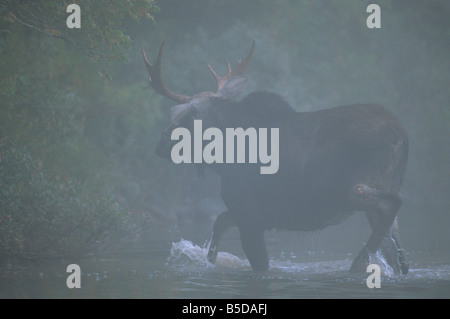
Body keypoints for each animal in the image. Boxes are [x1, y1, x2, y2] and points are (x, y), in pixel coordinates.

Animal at [142, 41, 410, 274]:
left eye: (181, 120)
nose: (159, 144)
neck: (221, 157)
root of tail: (399, 132)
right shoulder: (250, 212)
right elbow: (219, 222)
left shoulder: (247, 210)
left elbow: (259, 263)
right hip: (382, 185)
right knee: (395, 243)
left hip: (340, 188)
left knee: (392, 204)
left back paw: (358, 263)